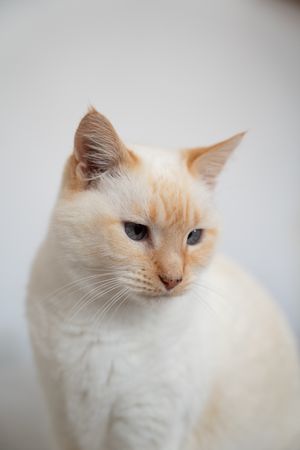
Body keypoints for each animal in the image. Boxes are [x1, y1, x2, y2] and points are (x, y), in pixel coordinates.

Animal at [27, 109, 300, 450]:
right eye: (135, 232)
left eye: (193, 237)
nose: (173, 279)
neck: (102, 321)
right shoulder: (65, 422)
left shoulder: (146, 429)